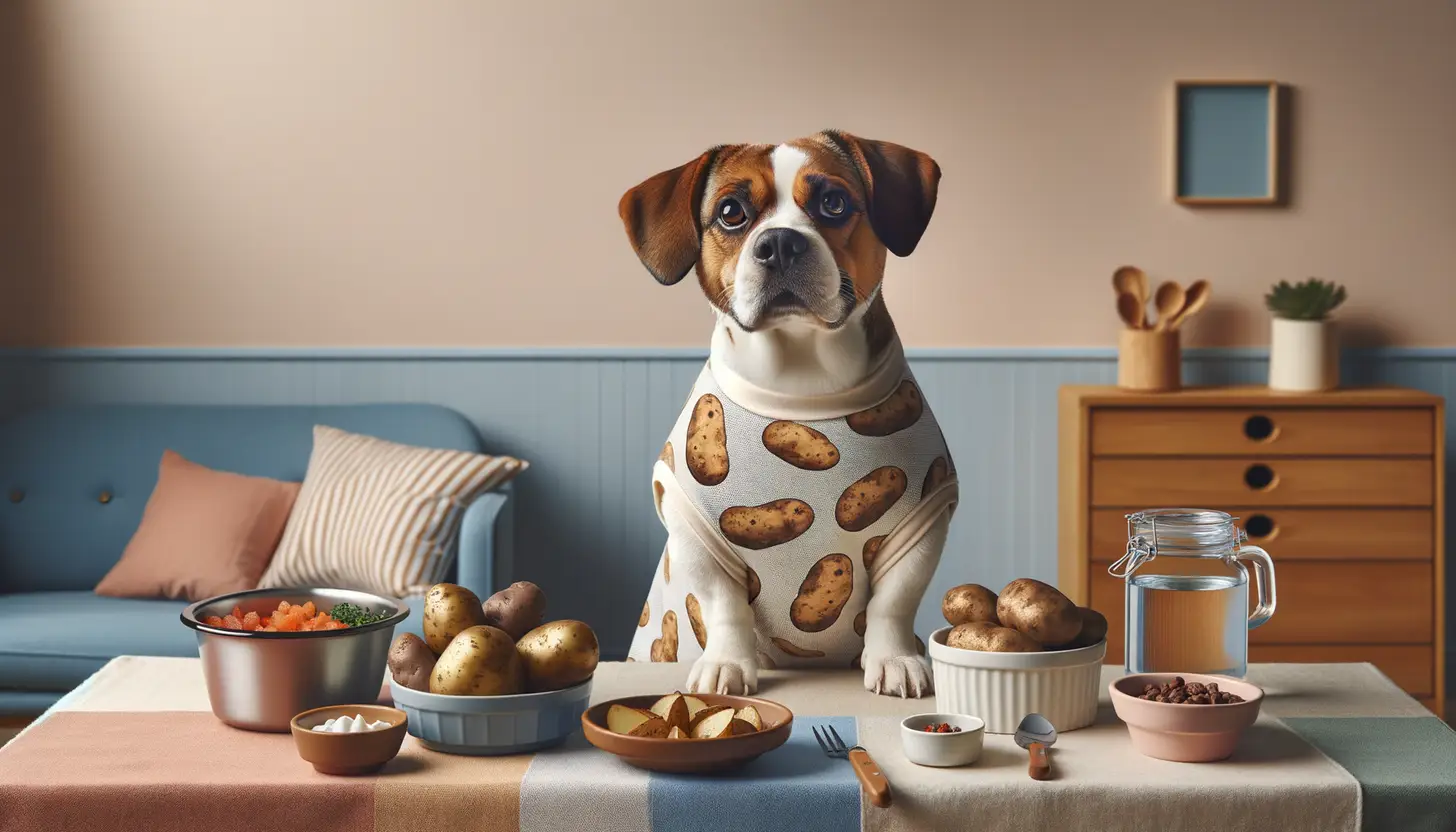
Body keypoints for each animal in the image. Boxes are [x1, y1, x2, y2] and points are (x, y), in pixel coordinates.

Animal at [614, 131, 955, 702]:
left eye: (833, 203)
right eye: (731, 212)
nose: (778, 243)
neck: (800, 380)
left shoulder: (924, 518)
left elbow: (894, 601)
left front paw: (895, 659)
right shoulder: (694, 530)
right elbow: (723, 606)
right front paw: (727, 664)